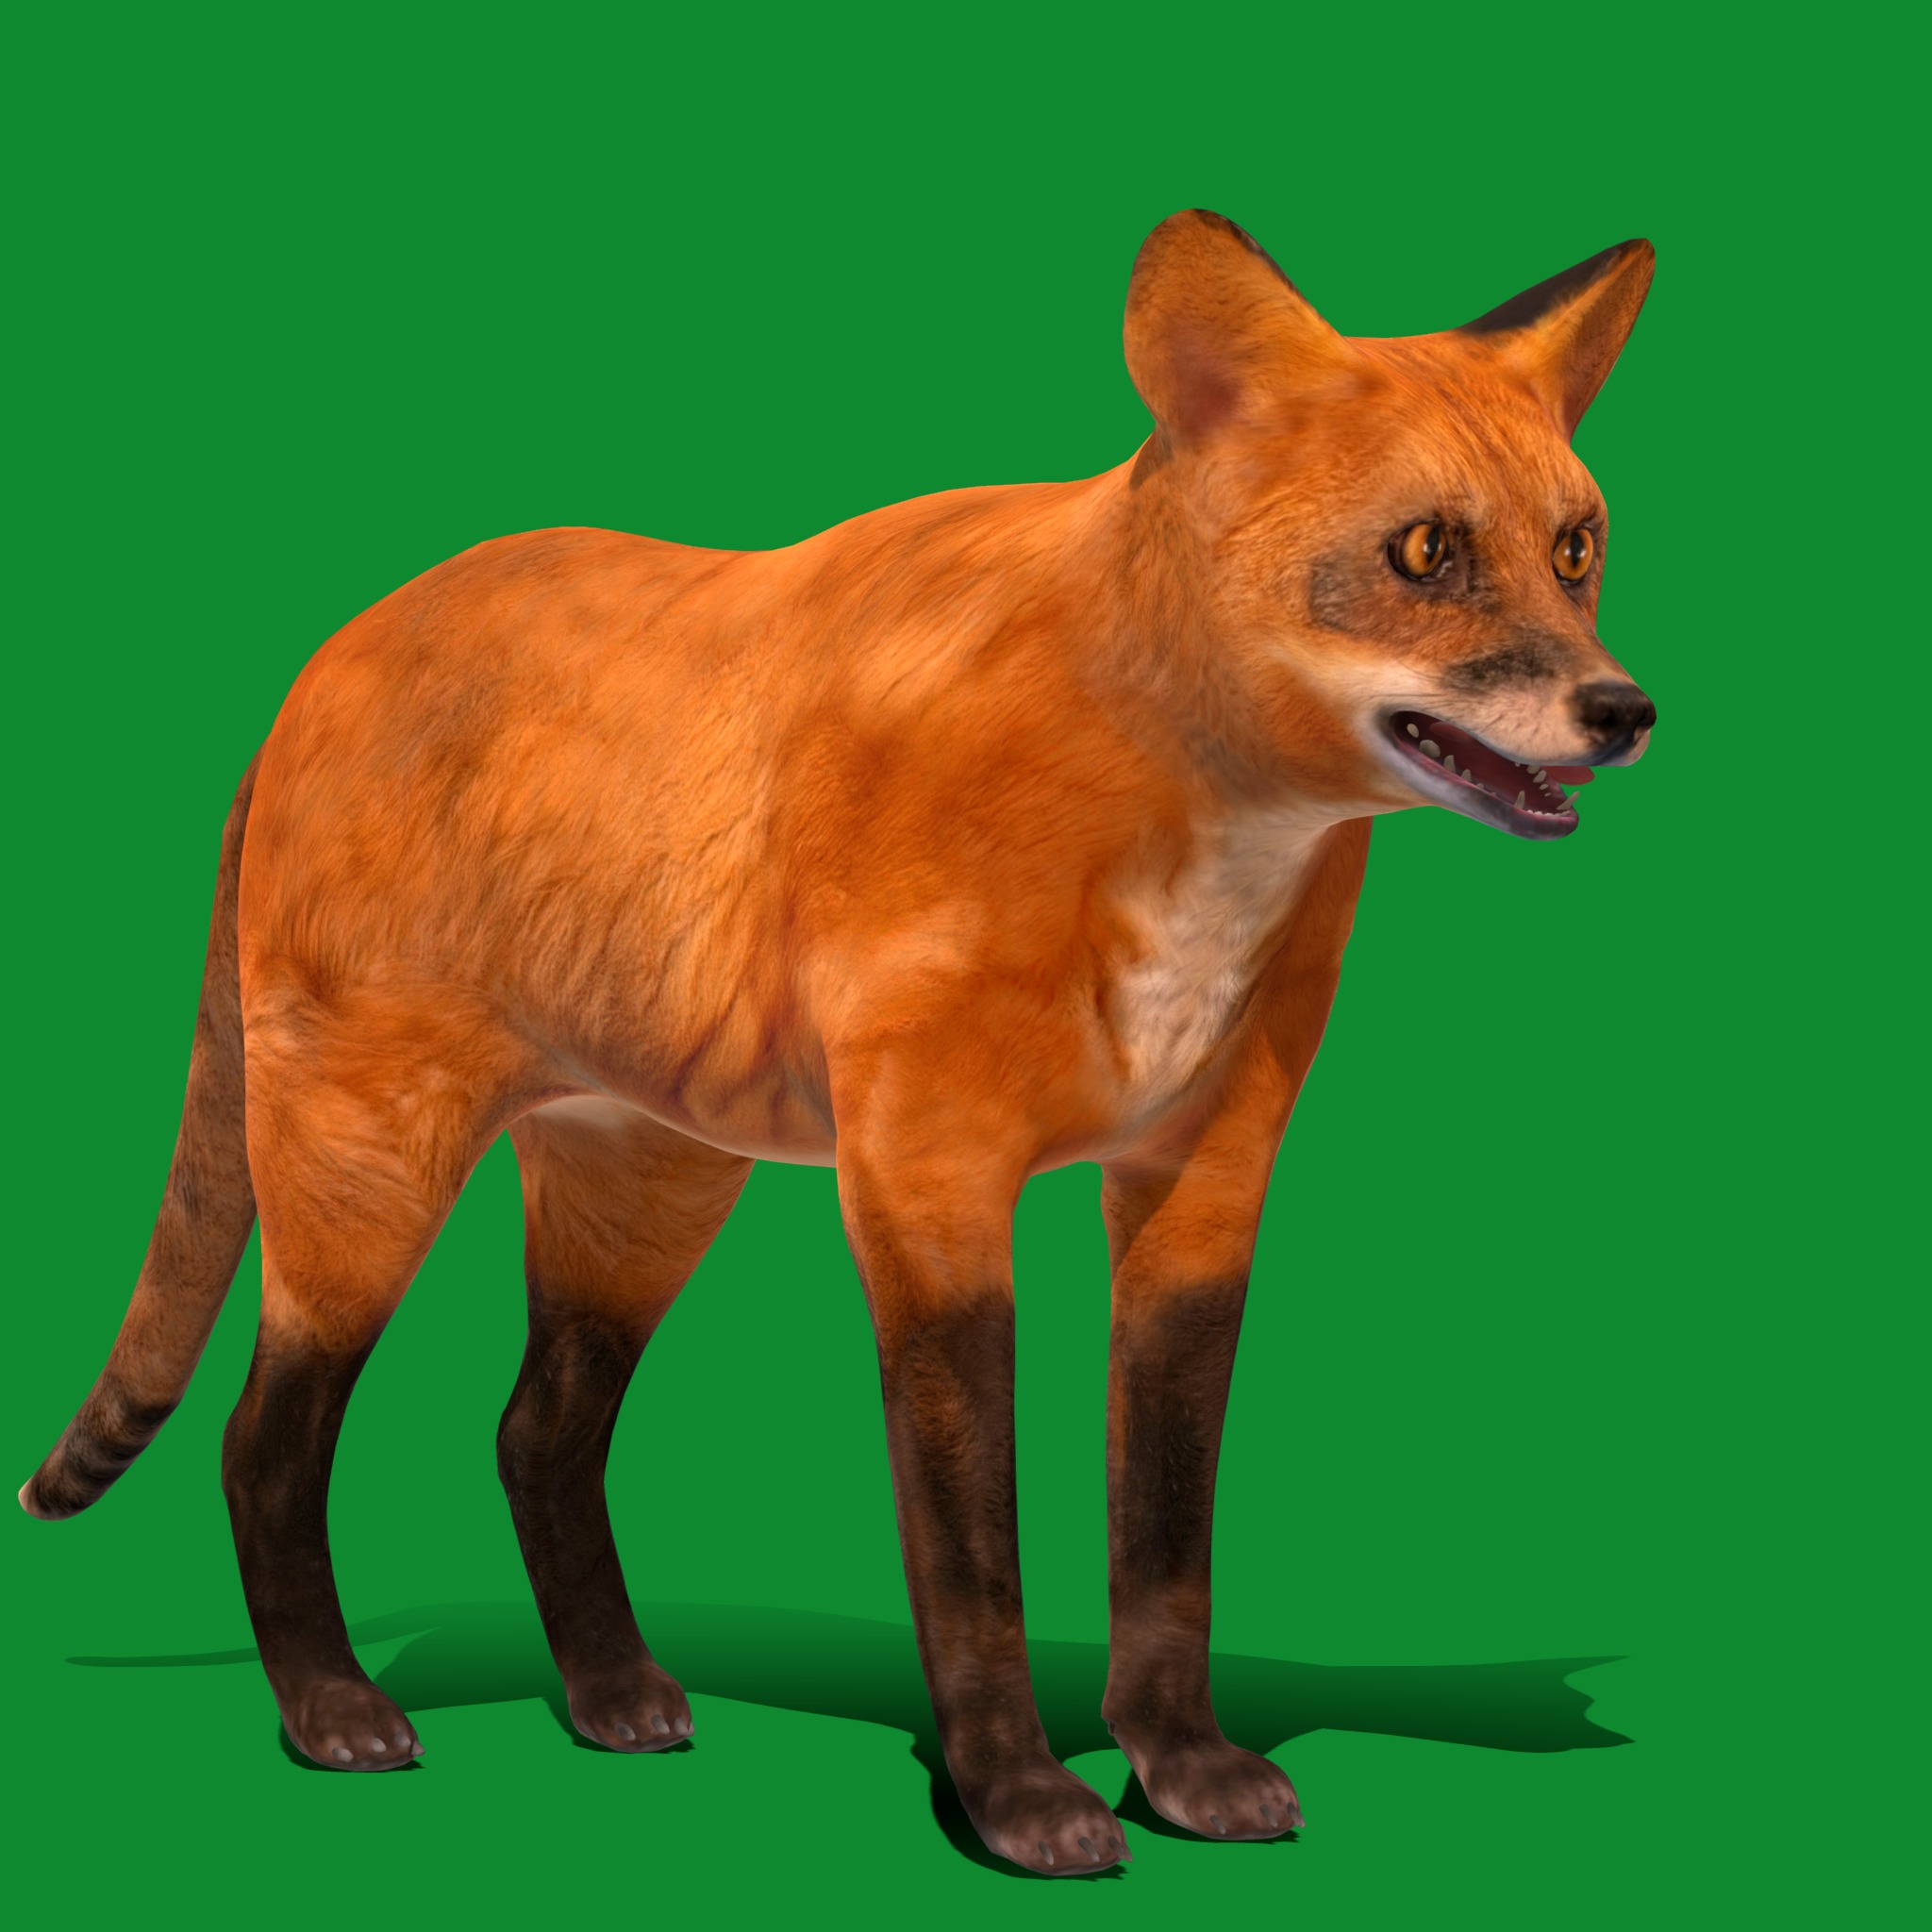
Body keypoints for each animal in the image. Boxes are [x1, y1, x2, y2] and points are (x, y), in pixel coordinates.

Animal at [22, 209, 1655, 1876]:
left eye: (1575, 549)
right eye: (1425, 553)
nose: (1624, 709)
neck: (1190, 836)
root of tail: (322, 657)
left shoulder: (1205, 1181)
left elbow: (1166, 1539)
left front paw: (1182, 1766)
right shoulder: (927, 1177)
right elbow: (974, 1554)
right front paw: (1019, 1803)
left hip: (645, 1195)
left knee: (536, 1433)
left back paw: (610, 1693)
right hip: (365, 1177)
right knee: (262, 1441)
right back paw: (332, 1711)